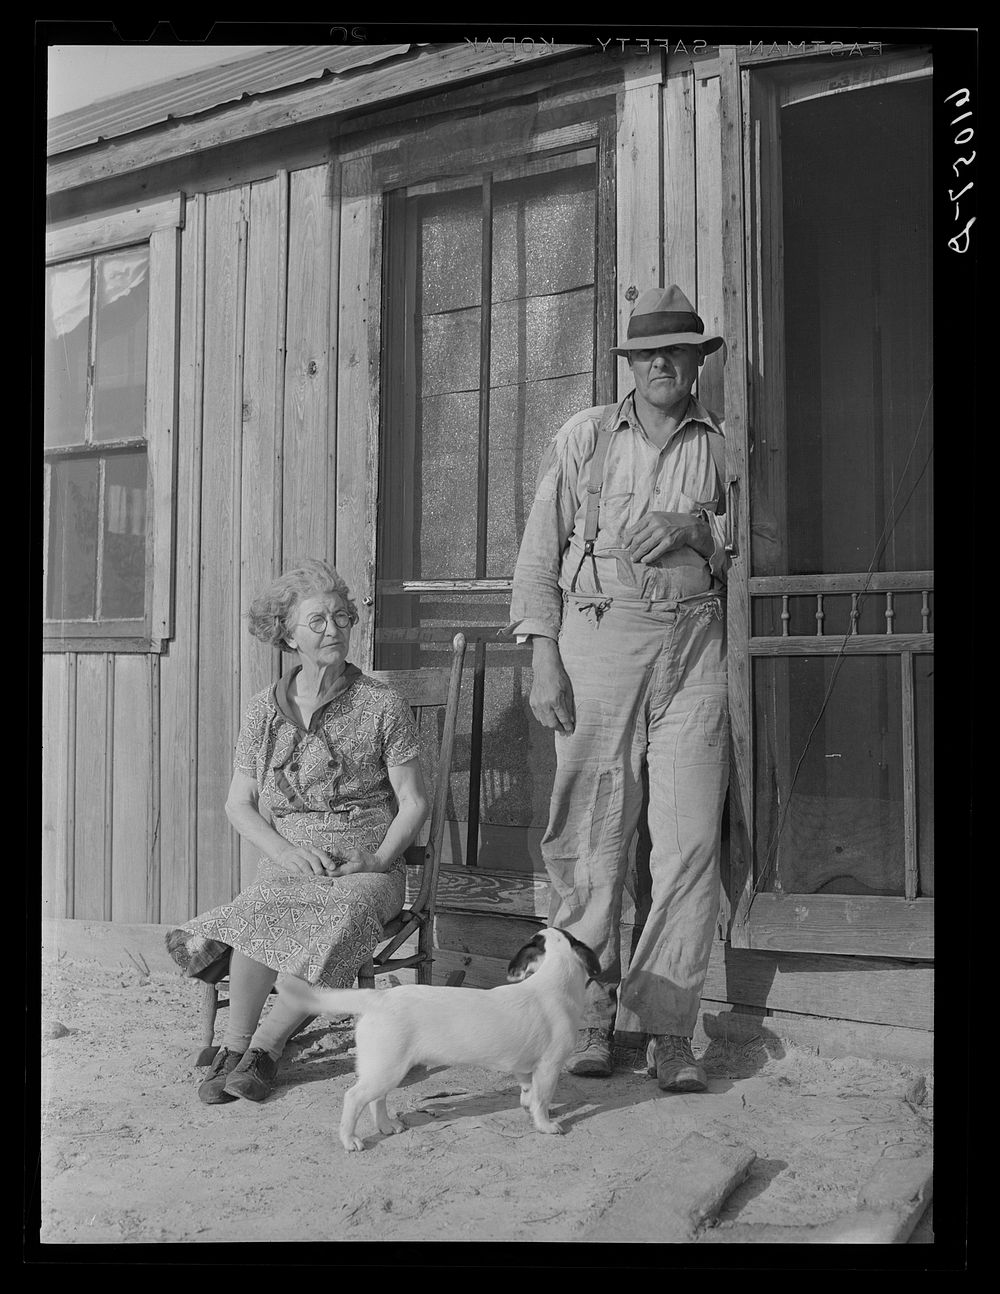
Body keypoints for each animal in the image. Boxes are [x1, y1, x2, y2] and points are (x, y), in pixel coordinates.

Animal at [276, 926, 600, 1149]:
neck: (553, 983)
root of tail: (378, 998)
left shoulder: (524, 1066)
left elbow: (527, 1089)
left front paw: (526, 1103)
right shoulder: (549, 1066)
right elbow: (542, 1099)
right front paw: (545, 1124)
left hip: (384, 1067)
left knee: (376, 1098)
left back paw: (386, 1126)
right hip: (388, 1069)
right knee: (354, 1097)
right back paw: (350, 1139)